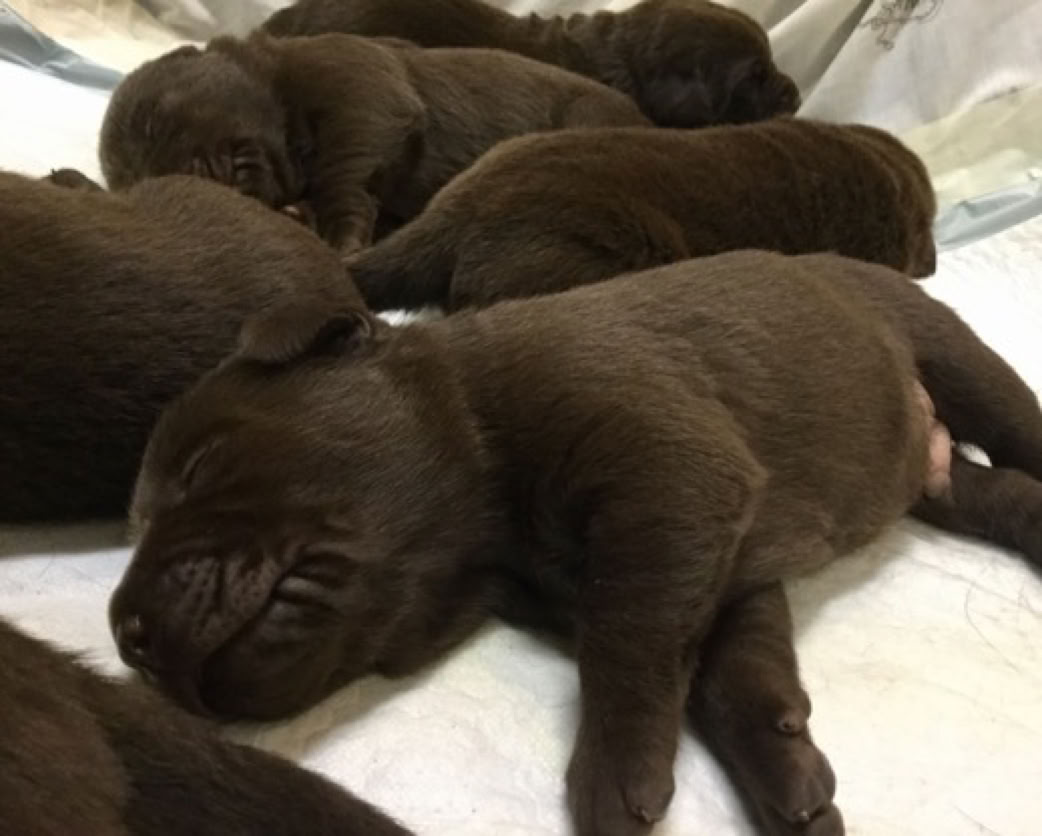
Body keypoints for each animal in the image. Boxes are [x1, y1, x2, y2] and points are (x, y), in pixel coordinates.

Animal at [98, 33, 650, 254]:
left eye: (158, 119)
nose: (200, 181)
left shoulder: (361, 91)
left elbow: (345, 170)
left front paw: (337, 233)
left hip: (587, 114)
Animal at [109, 250, 1042, 835]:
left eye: (199, 467)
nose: (125, 634)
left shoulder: (668, 478)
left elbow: (627, 644)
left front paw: (614, 779)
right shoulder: (720, 554)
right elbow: (731, 668)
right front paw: (790, 776)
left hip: (952, 352)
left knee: (1019, 430)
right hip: (947, 487)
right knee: (998, 493)